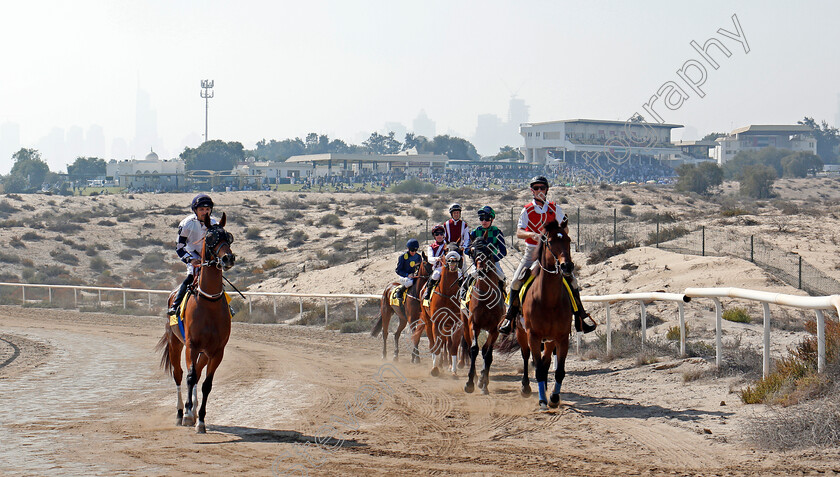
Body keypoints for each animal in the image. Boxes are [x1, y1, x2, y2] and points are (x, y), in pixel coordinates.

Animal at [157, 212, 236, 432]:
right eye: (210, 238)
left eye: (229, 236)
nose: (228, 258)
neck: (209, 302)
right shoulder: (191, 345)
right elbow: (189, 377)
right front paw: (187, 414)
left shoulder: (217, 350)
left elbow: (206, 383)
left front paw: (200, 420)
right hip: (176, 344)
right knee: (179, 374)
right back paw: (181, 412)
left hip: (204, 352)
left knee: (198, 374)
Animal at [460, 238, 506, 394]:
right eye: (472, 251)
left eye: (488, 250)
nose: (480, 270)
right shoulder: (474, 324)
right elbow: (474, 349)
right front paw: (469, 383)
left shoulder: (494, 328)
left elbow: (488, 353)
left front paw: (484, 383)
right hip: (465, 325)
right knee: (469, 347)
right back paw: (474, 377)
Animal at [520, 217, 576, 410]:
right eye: (550, 242)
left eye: (568, 239)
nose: (567, 266)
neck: (548, 300)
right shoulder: (533, 336)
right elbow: (537, 368)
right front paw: (542, 400)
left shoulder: (561, 337)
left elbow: (558, 371)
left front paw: (553, 397)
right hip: (521, 333)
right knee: (526, 357)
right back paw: (526, 387)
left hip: (550, 341)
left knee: (545, 364)